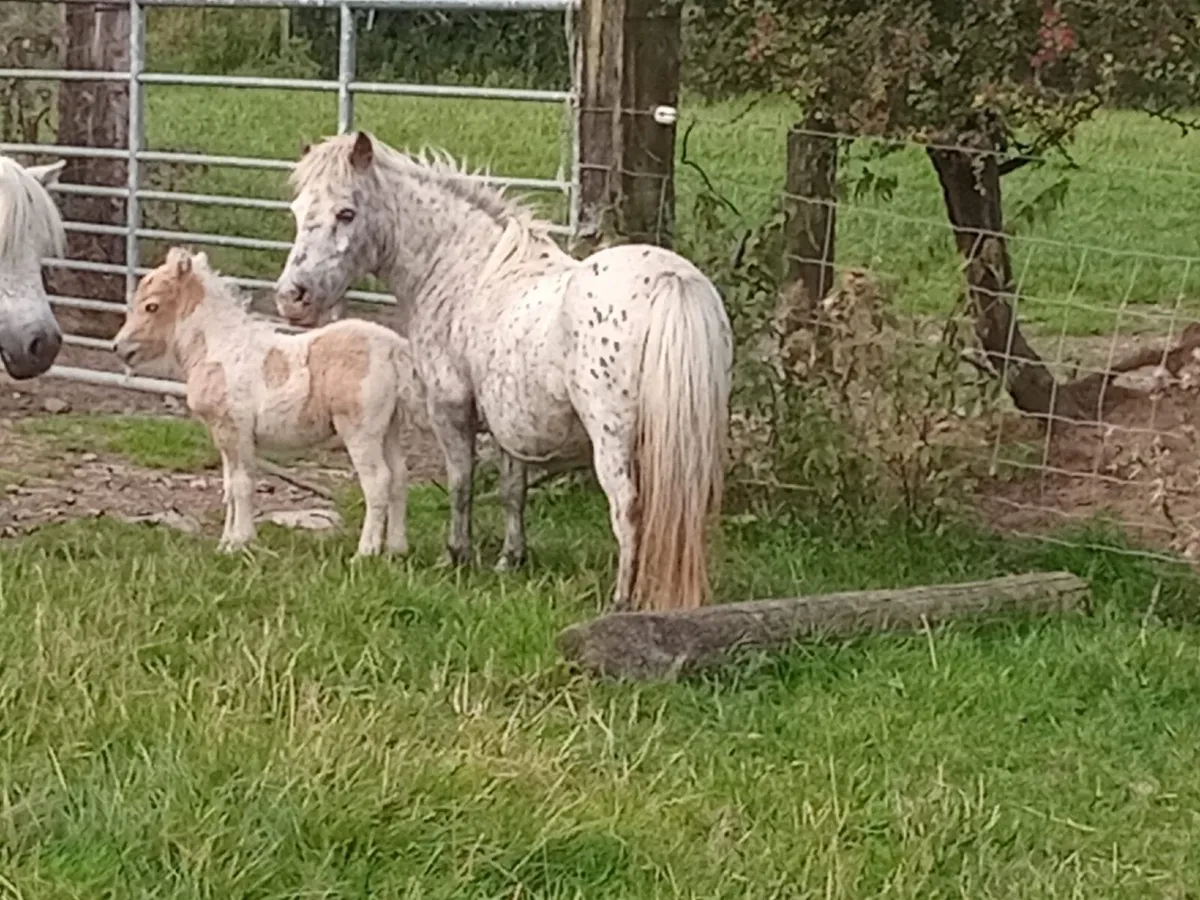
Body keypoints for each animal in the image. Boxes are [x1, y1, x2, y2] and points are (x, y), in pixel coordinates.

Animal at [113, 246, 417, 557]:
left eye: (151, 306)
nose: (119, 348)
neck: (219, 348)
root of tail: (394, 348)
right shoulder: (223, 435)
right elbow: (229, 487)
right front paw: (226, 544)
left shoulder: (234, 429)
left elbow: (242, 484)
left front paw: (241, 541)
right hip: (389, 427)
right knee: (399, 476)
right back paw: (396, 548)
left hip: (360, 430)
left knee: (378, 481)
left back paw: (365, 553)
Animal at [274, 131, 732, 612]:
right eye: (298, 211)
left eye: (346, 212)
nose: (291, 297)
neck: (466, 271)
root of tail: (670, 279)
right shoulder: (509, 422)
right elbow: (514, 491)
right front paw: (511, 560)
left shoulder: (451, 409)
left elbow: (461, 483)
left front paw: (456, 556)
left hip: (614, 440)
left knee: (627, 508)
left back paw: (622, 600)